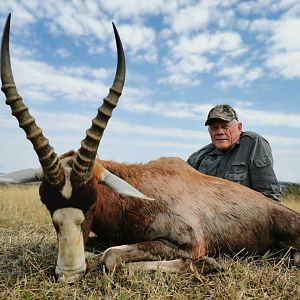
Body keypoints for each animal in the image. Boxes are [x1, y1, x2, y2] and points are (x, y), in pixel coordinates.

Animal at [1, 14, 300, 284]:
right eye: (45, 200)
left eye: (93, 197)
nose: (69, 274)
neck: (134, 195)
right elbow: (100, 250)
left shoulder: (187, 241)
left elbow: (110, 257)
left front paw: (209, 263)